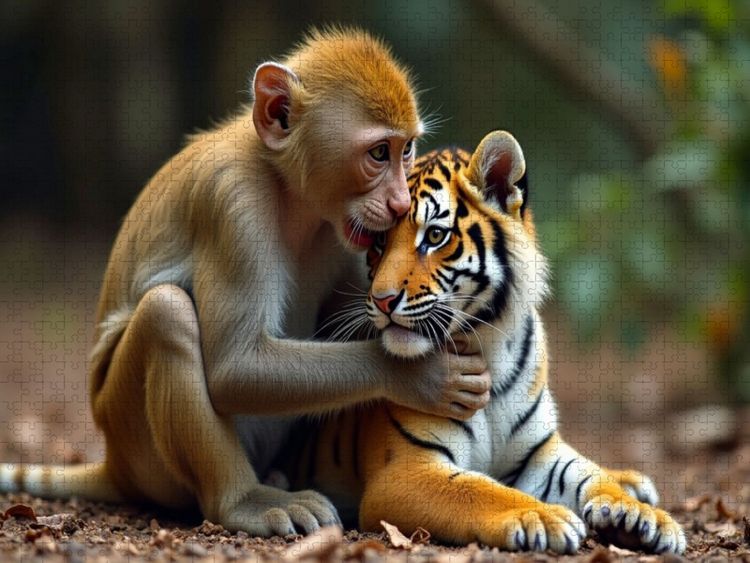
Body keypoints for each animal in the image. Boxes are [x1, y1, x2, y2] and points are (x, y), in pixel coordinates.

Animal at [283, 130, 686, 554]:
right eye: (377, 243)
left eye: (435, 235)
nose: (382, 300)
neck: (490, 348)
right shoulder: (406, 471)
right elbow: (480, 490)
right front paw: (545, 516)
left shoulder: (541, 453)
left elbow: (590, 474)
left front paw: (642, 517)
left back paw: (635, 484)